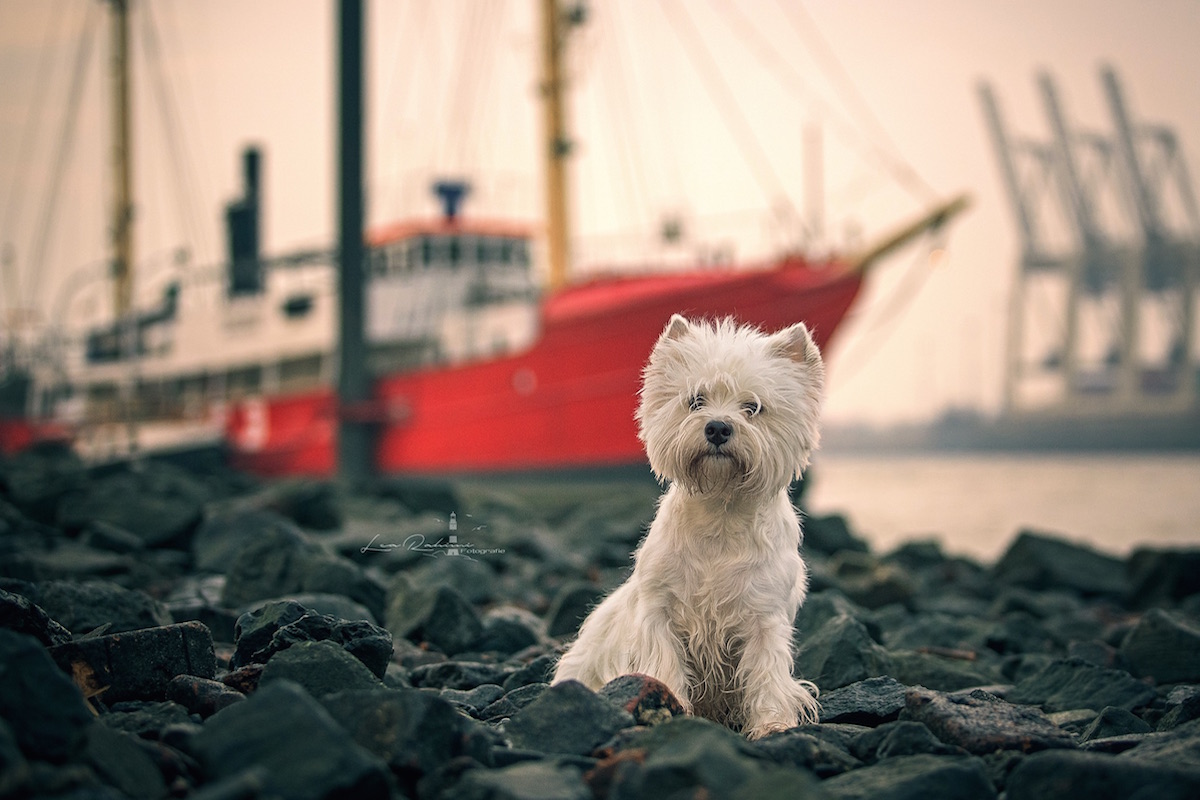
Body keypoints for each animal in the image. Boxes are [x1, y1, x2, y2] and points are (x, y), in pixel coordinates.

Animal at [554, 311, 825, 738]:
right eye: (696, 400)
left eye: (754, 407)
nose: (717, 428)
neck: (720, 514)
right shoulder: (660, 611)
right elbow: (665, 664)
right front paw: (674, 708)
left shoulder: (764, 618)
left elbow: (766, 674)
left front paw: (772, 726)